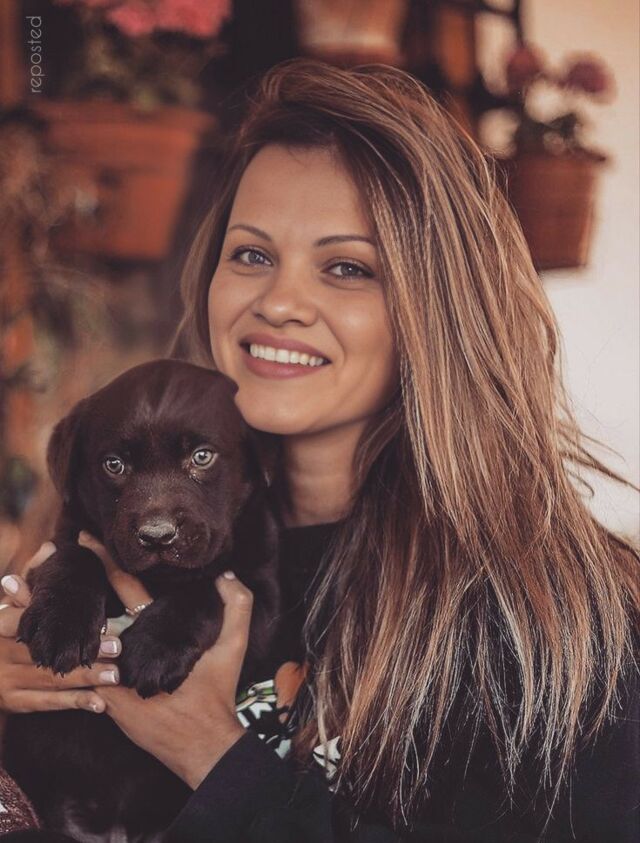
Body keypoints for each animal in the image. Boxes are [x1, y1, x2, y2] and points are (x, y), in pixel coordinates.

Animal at [2, 358, 281, 840]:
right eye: (114, 465)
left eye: (202, 456)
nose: (157, 535)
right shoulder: (56, 547)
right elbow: (77, 555)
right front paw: (59, 625)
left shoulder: (260, 601)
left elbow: (203, 587)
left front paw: (155, 649)